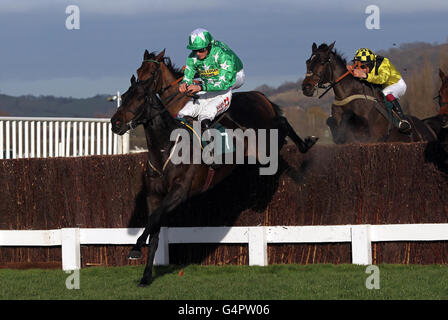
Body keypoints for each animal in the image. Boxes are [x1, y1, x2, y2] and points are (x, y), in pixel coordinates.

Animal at [300, 42, 436, 144]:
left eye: (322, 62)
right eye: (307, 62)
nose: (306, 87)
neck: (347, 94)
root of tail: (428, 128)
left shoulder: (371, 133)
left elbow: (350, 117)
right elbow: (331, 121)